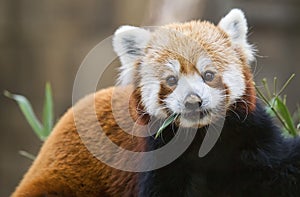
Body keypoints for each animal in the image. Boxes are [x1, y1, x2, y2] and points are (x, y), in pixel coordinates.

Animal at [11, 8, 300, 196]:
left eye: (208, 75)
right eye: (171, 80)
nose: (193, 101)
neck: (200, 138)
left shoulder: (251, 140)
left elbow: (284, 167)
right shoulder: (153, 159)